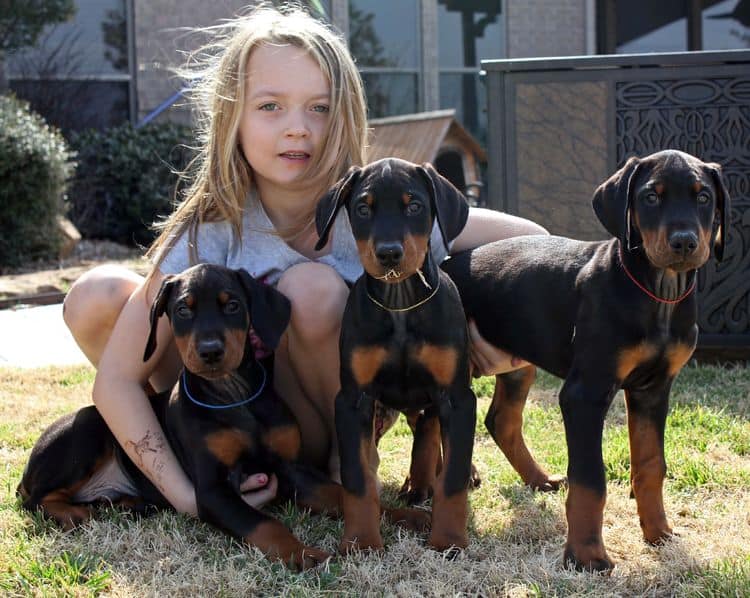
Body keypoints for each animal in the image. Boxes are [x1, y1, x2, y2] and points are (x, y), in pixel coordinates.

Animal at [17, 266, 342, 572]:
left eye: (233, 305)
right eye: (183, 310)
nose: (210, 351)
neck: (233, 395)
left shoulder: (291, 467)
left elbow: (335, 493)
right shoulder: (212, 490)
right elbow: (263, 523)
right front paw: (304, 554)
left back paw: (132, 503)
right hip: (85, 431)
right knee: (34, 499)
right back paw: (75, 513)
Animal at [316, 157, 476, 556]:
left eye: (414, 205)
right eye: (363, 208)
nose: (389, 253)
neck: (400, 303)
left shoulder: (456, 397)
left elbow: (453, 478)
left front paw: (449, 540)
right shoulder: (353, 400)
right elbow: (357, 479)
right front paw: (361, 541)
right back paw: (417, 485)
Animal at [444, 150, 732, 572]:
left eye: (703, 197)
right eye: (650, 197)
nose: (684, 242)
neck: (658, 292)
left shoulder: (653, 390)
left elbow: (651, 465)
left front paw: (659, 533)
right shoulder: (585, 393)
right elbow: (590, 480)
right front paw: (587, 556)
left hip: (518, 363)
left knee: (500, 420)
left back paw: (537, 479)